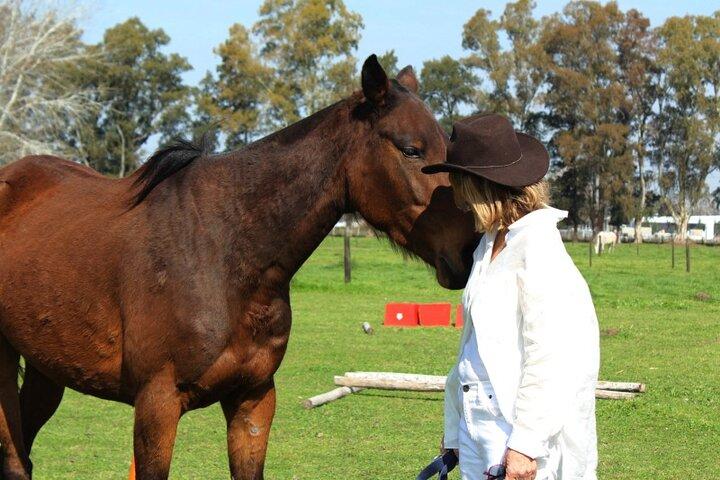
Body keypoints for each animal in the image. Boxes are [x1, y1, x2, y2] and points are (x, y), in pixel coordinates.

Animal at [0, 55, 479, 479]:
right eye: (411, 149)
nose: (468, 248)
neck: (224, 253)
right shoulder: (156, 404)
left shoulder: (253, 399)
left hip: (46, 368)